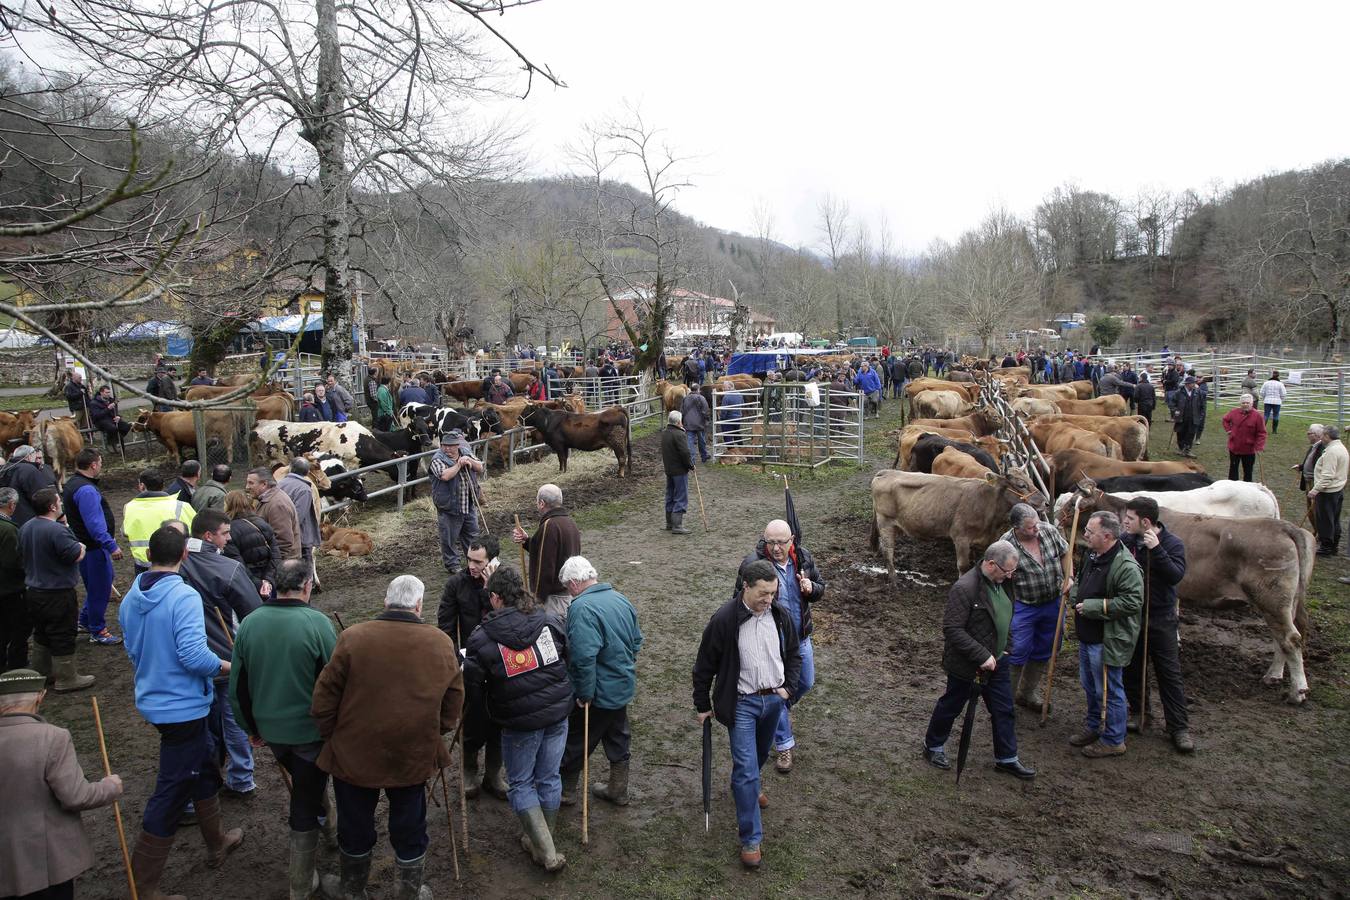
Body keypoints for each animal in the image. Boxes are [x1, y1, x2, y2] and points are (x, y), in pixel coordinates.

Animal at [869, 469, 1047, 574]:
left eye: (1031, 480)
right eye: (1021, 485)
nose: (1045, 502)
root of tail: (886, 472)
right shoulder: (961, 537)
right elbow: (963, 566)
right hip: (885, 521)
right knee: (888, 550)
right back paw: (894, 582)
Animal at [1063, 485, 1306, 701]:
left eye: (1072, 505)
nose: (1057, 520)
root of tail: (1284, 527)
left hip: (1272, 601)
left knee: (1291, 639)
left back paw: (1297, 690)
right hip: (1282, 604)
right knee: (1280, 638)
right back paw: (1274, 675)